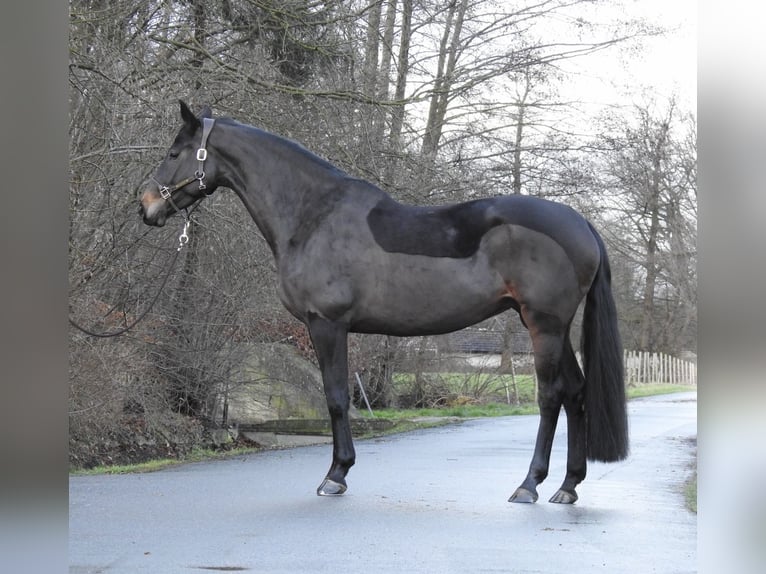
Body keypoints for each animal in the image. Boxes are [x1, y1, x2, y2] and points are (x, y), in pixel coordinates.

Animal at [138, 101, 632, 506]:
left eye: (174, 152)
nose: (146, 206)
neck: (312, 215)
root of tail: (581, 223)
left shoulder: (326, 324)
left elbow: (337, 398)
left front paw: (336, 475)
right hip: (553, 328)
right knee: (576, 392)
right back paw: (568, 486)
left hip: (543, 324)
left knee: (551, 396)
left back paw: (529, 485)